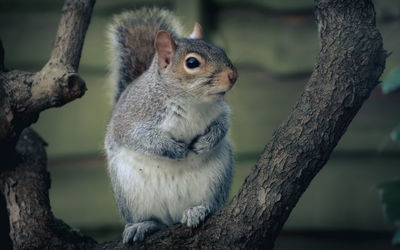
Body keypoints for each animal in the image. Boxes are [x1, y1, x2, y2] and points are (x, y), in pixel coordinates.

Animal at [104, 8, 239, 244]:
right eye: (192, 63)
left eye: (220, 50)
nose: (233, 76)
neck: (190, 101)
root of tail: (173, 217)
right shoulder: (130, 118)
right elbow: (140, 138)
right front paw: (174, 149)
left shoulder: (221, 110)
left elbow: (223, 125)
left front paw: (205, 142)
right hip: (130, 193)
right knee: (153, 220)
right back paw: (142, 225)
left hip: (216, 180)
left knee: (209, 204)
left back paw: (198, 210)